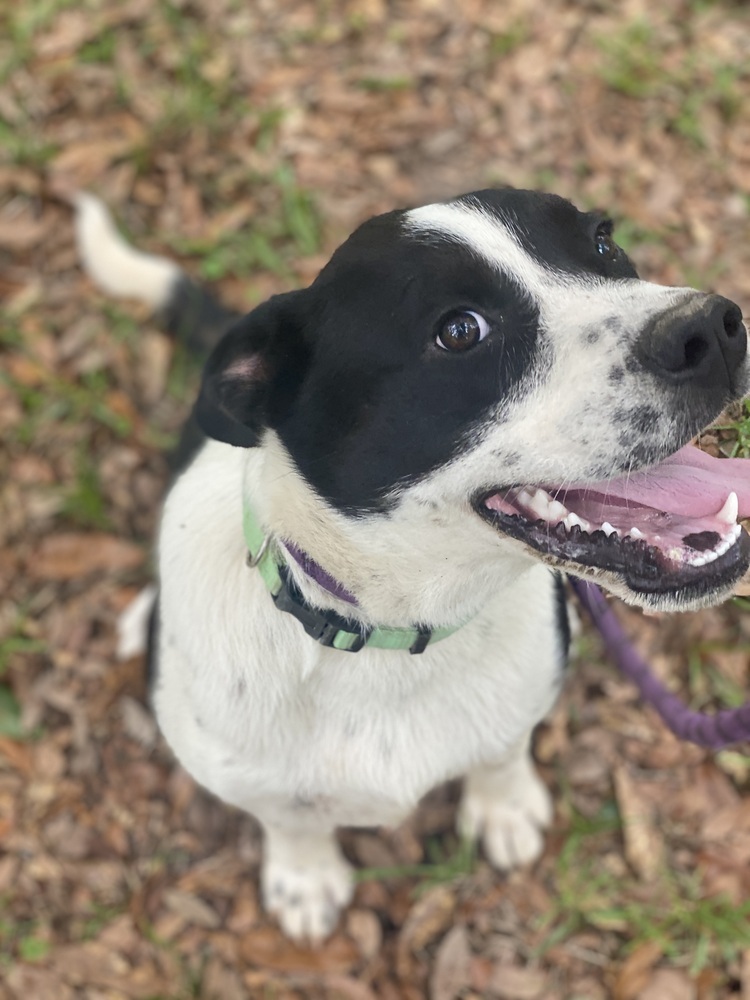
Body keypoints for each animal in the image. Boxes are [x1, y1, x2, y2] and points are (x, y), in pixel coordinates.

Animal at [76, 189, 750, 944]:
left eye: (602, 242)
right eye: (459, 331)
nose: (715, 327)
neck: (395, 633)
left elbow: (502, 748)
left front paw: (502, 805)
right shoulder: (246, 773)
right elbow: (287, 817)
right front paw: (305, 875)